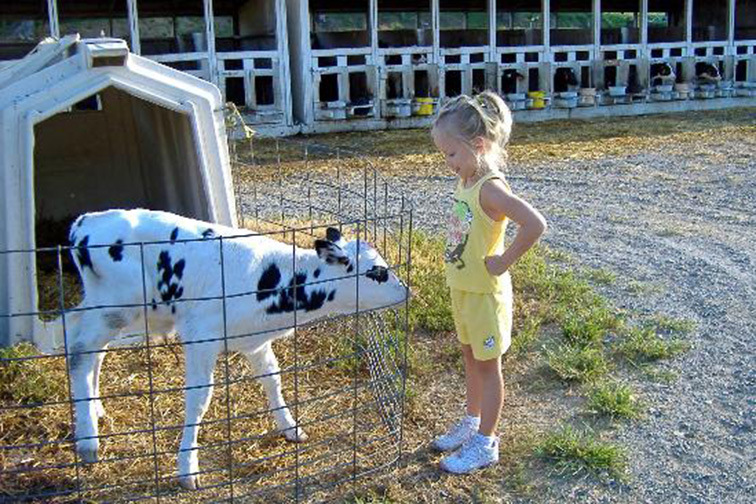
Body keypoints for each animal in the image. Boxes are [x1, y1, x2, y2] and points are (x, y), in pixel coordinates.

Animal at [65, 209, 408, 488]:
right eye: (378, 271)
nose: (408, 291)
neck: (274, 281)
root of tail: (87, 220)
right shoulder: (200, 338)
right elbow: (199, 400)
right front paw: (187, 468)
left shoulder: (255, 342)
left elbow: (273, 380)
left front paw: (290, 427)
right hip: (115, 306)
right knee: (79, 353)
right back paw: (88, 440)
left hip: (113, 311)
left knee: (94, 350)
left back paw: (95, 410)